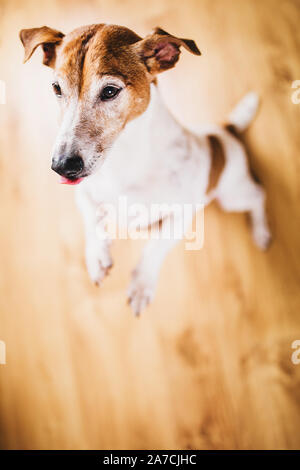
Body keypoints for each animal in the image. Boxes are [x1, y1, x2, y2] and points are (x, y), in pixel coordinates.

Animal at [18, 23, 272, 316]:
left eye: (109, 91)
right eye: (56, 88)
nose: (61, 167)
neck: (124, 159)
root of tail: (223, 132)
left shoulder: (181, 216)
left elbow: (155, 247)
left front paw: (142, 284)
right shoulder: (84, 193)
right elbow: (91, 219)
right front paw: (97, 256)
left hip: (233, 195)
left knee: (259, 195)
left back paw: (261, 231)